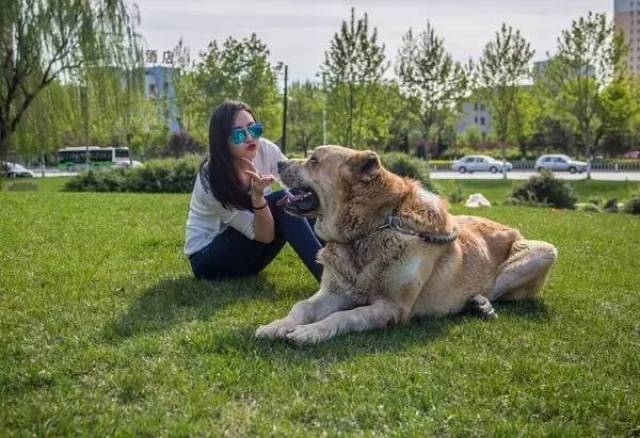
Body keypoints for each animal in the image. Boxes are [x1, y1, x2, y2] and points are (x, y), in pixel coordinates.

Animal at [255, 147, 556, 346]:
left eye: (314, 160)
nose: (279, 163)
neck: (374, 227)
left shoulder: (392, 307)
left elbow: (345, 317)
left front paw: (311, 332)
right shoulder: (335, 292)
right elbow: (302, 307)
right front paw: (277, 325)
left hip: (544, 252)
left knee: (498, 290)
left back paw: (482, 303)